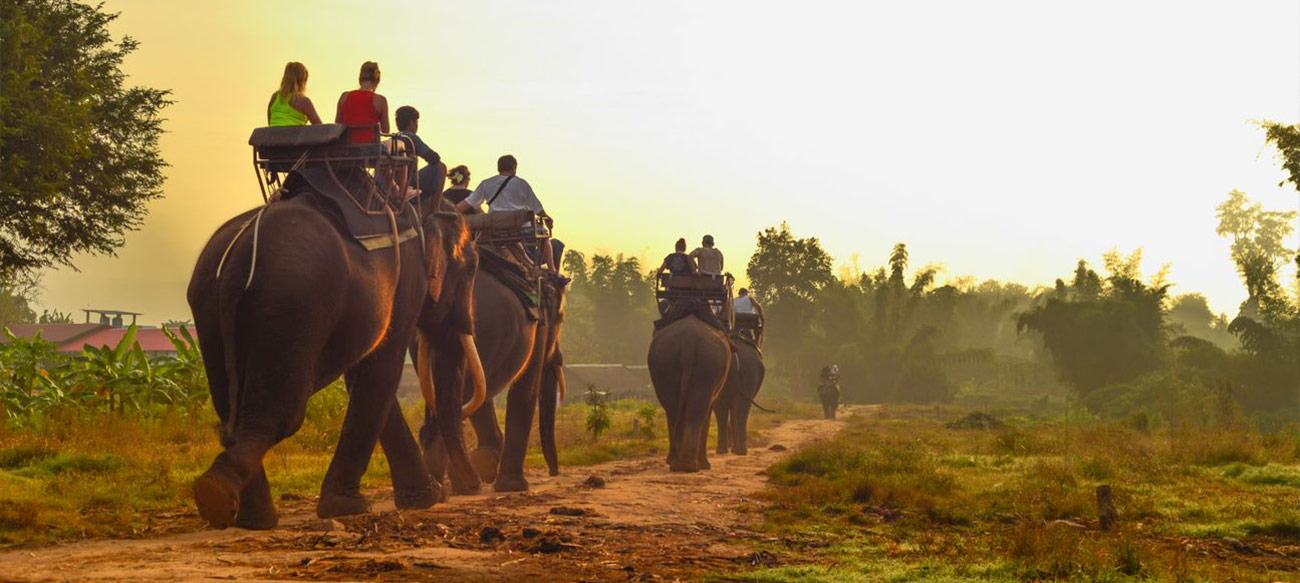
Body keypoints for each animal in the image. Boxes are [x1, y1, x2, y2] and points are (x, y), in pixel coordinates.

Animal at [185, 189, 486, 528]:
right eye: (472, 269)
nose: (473, 486)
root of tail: (239, 255)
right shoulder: (406, 282)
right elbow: (382, 371)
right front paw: (352, 505)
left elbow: (362, 377)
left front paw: (424, 497)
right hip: (293, 303)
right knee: (279, 414)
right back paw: (218, 494)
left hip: (209, 305)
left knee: (230, 411)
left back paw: (250, 517)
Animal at [413, 255, 561, 491]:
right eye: (561, 319)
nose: (554, 472)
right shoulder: (539, 327)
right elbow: (525, 389)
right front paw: (514, 486)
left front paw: (487, 467)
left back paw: (450, 484)